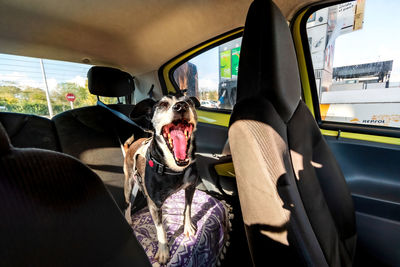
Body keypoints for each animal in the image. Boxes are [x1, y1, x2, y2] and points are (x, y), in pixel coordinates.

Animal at [122, 95, 199, 264]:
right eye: (163, 104)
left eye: (189, 102)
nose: (181, 106)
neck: (174, 169)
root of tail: (132, 145)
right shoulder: (155, 204)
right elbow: (161, 229)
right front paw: (163, 250)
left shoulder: (191, 187)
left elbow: (187, 209)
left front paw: (188, 226)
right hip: (129, 182)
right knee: (128, 203)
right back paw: (128, 218)